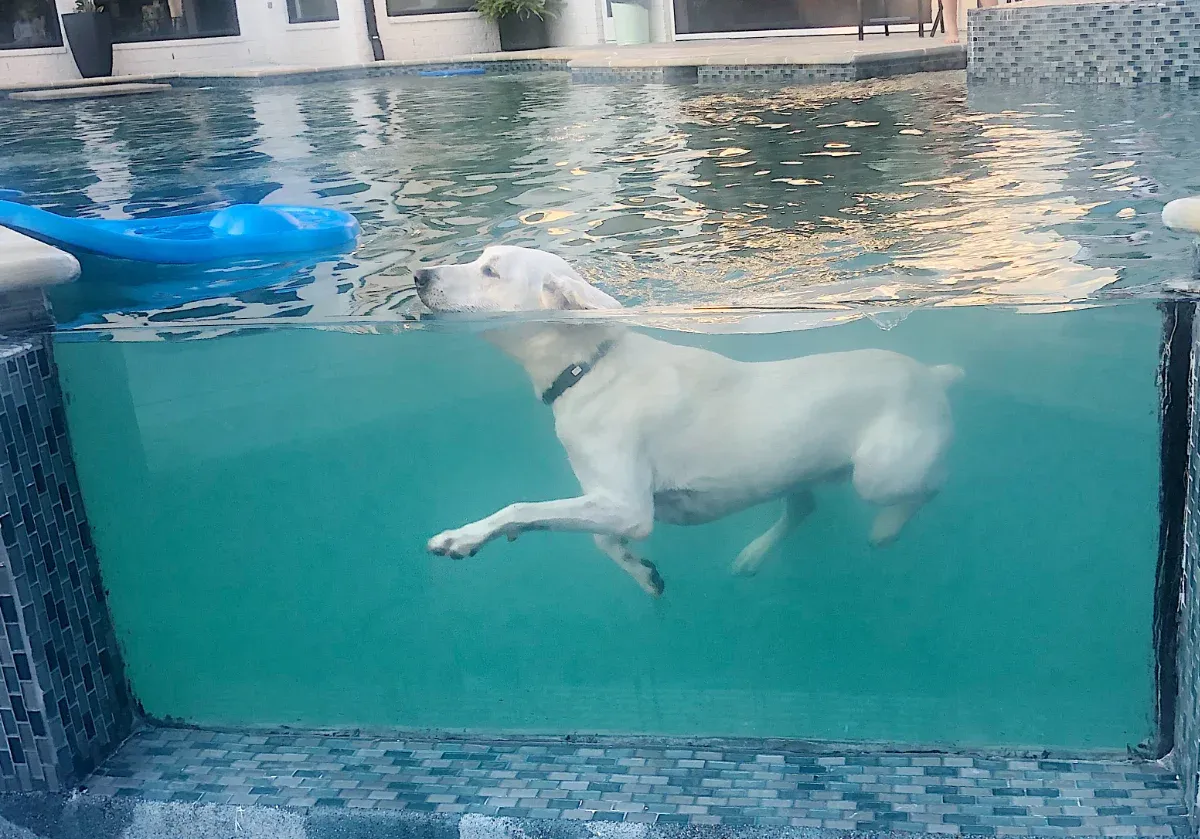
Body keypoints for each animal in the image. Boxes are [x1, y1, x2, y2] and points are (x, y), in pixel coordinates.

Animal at [417, 246, 960, 600]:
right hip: (795, 468)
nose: (419, 274)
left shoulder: (627, 506)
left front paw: (462, 538)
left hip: (882, 475)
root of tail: (934, 373)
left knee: (930, 487)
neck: (589, 367)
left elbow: (522, 509)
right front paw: (643, 573)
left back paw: (886, 528)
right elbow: (598, 539)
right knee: (803, 506)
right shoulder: (616, 504)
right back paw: (754, 554)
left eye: (490, 270)